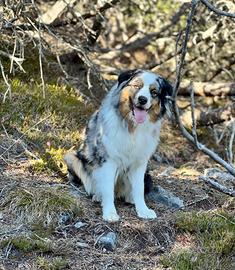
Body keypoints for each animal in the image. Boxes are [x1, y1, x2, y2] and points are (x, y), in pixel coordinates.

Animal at [63, 69, 173, 221]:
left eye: (154, 92)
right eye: (137, 86)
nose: (142, 99)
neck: (132, 127)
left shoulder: (140, 162)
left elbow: (139, 188)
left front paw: (143, 210)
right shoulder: (108, 160)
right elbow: (108, 188)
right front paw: (110, 213)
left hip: (148, 175)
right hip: (72, 157)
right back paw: (98, 196)